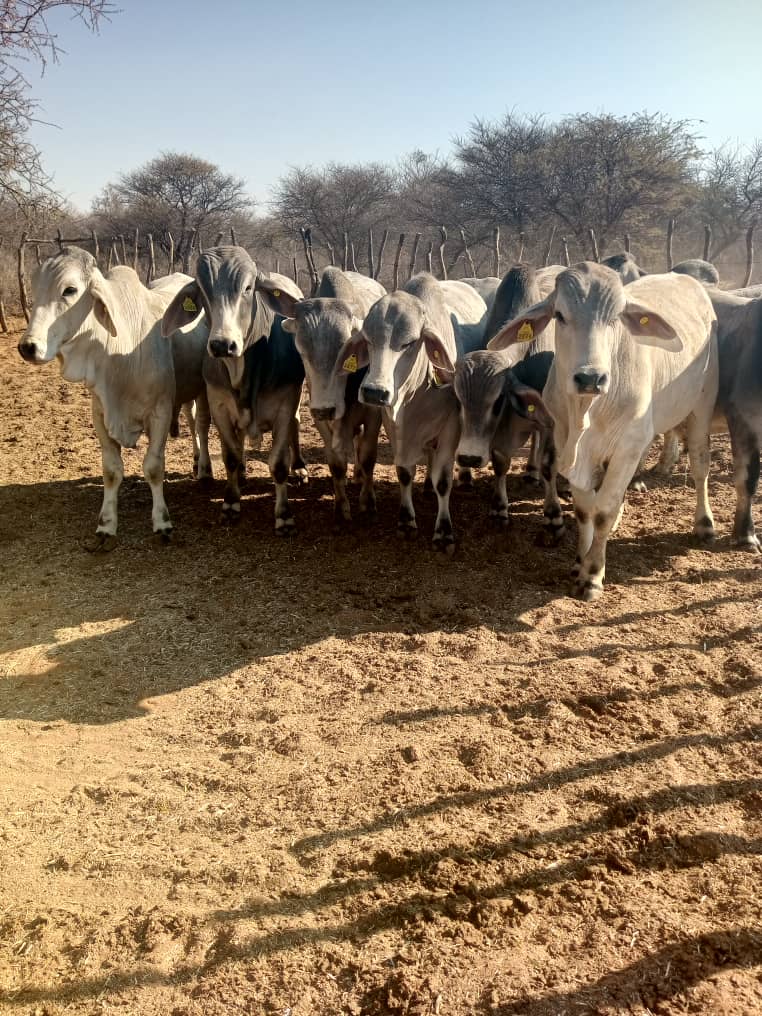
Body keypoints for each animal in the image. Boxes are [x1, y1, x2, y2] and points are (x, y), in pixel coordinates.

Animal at [18, 245, 209, 548]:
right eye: (35, 288)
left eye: (69, 290)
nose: (28, 347)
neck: (120, 352)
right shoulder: (100, 413)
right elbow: (111, 470)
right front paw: (106, 524)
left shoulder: (160, 412)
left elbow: (153, 467)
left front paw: (162, 521)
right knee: (190, 420)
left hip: (201, 390)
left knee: (200, 424)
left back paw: (203, 468)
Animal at [161, 247, 306, 532]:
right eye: (202, 291)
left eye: (248, 288)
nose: (222, 344)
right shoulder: (219, 405)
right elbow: (230, 456)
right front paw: (231, 502)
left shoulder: (285, 406)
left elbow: (278, 464)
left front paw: (284, 515)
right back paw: (235, 473)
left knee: (295, 425)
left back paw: (299, 467)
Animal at [491, 262, 719, 597]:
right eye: (560, 315)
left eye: (616, 317)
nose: (590, 378)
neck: (588, 413)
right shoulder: (566, 443)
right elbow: (585, 509)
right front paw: (579, 562)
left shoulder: (626, 446)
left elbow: (603, 512)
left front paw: (592, 574)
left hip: (702, 404)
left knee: (701, 466)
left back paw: (704, 523)